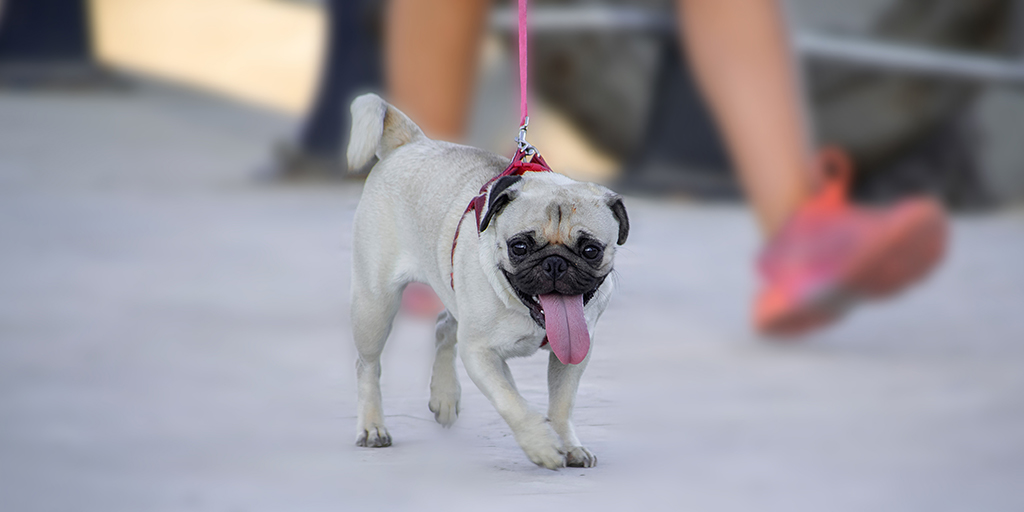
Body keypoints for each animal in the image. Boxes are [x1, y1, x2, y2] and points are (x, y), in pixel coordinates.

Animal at [348, 94, 626, 468]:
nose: (555, 263)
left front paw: (568, 444)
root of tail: (412, 142)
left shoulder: (575, 351)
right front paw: (541, 444)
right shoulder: (480, 353)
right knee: (368, 366)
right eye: (520, 247)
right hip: (376, 305)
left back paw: (444, 397)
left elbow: (561, 404)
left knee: (444, 327)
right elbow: (513, 403)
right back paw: (372, 426)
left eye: (591, 250)